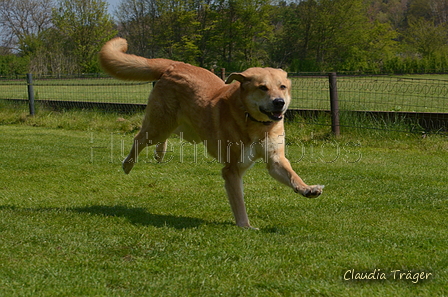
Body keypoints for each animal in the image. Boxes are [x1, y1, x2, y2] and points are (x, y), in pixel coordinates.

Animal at [99, 37, 322, 227]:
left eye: (282, 86)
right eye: (262, 88)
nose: (279, 103)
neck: (254, 123)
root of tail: (174, 65)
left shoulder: (275, 159)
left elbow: (292, 175)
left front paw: (307, 188)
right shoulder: (232, 169)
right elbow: (239, 202)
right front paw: (245, 226)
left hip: (185, 129)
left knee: (165, 137)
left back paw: (159, 154)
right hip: (158, 126)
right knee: (139, 139)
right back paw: (128, 164)